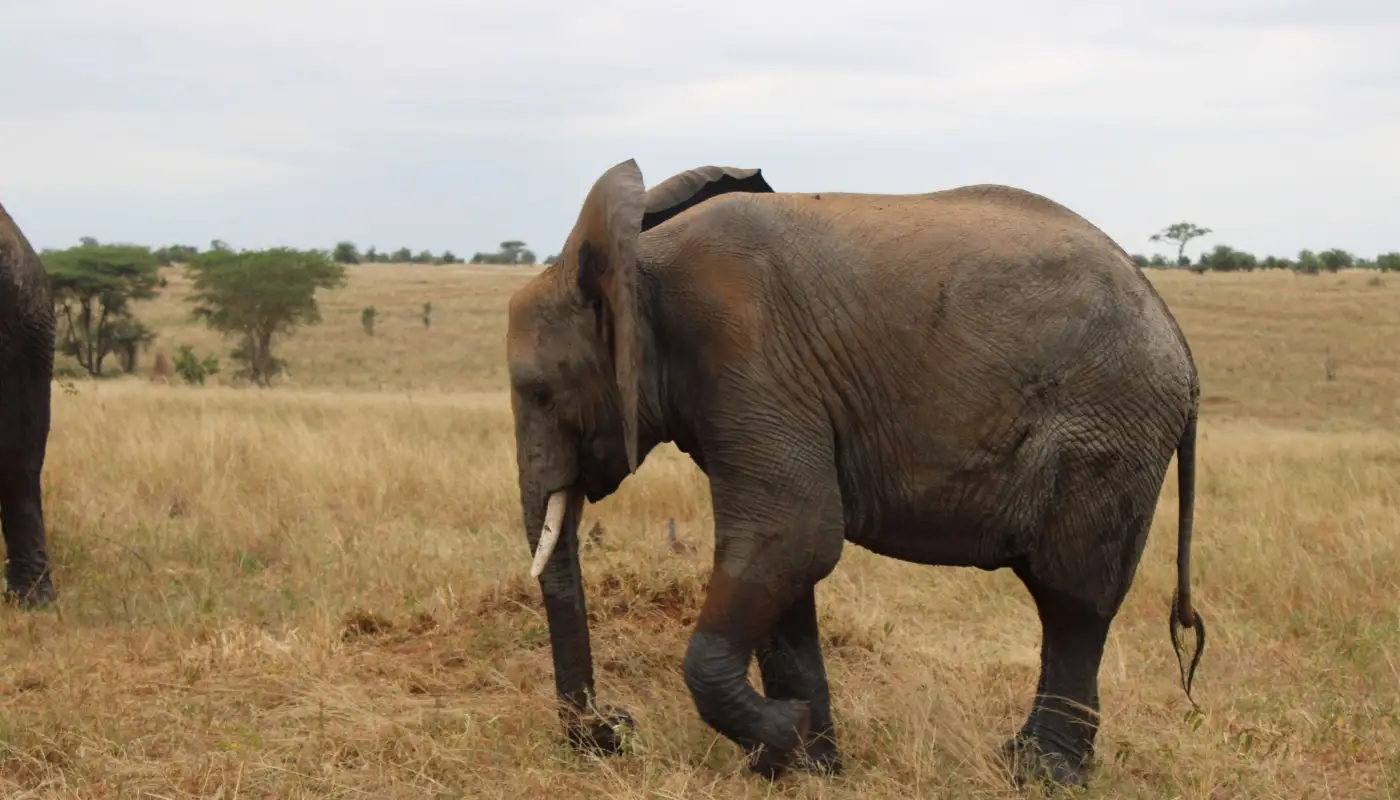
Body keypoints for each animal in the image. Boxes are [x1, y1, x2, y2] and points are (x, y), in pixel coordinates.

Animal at [504, 159, 1206, 788]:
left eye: (539, 393)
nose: (614, 728)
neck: (637, 262)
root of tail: (1177, 334)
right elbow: (783, 565)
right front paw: (799, 768)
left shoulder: (748, 357)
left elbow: (792, 537)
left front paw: (782, 733)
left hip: (1108, 427)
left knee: (1072, 600)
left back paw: (1042, 775)